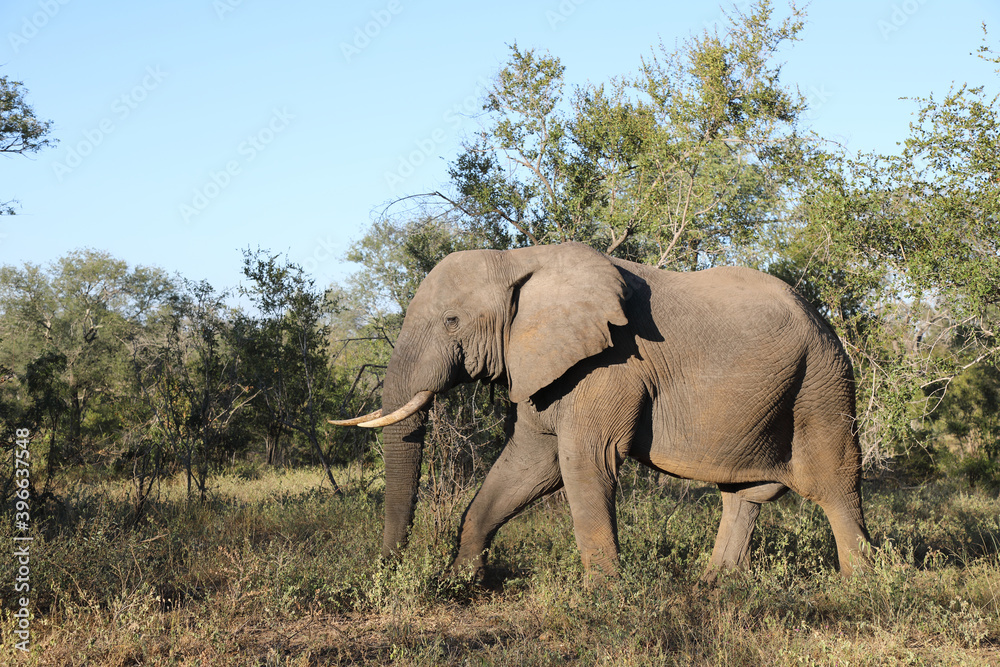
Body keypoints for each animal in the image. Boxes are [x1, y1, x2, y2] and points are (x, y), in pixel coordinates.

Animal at [332, 240, 872, 580]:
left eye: (451, 321)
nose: (390, 569)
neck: (519, 260)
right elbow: (528, 464)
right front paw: (464, 583)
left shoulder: (611, 364)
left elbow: (584, 461)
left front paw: (606, 599)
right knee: (743, 495)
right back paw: (715, 585)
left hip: (822, 381)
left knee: (834, 485)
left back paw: (864, 586)